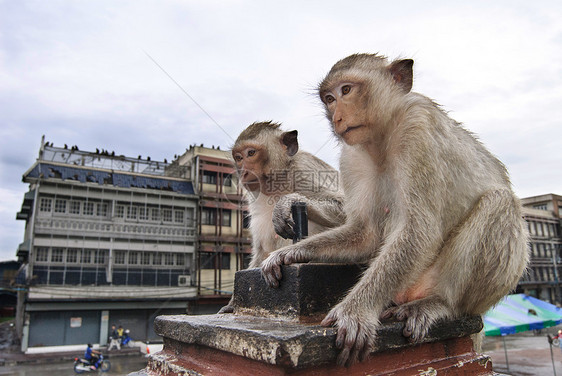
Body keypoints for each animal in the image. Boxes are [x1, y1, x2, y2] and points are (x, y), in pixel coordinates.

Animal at [217, 121, 344, 314]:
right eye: (238, 157)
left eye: (251, 153)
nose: (243, 172)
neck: (278, 181)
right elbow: (261, 249)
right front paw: (231, 305)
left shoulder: (306, 169)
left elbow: (348, 211)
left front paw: (287, 202)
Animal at [260, 54, 528, 366]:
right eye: (329, 98)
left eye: (346, 90)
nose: (337, 117)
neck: (382, 138)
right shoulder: (351, 157)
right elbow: (364, 234)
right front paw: (291, 251)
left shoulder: (418, 128)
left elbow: (420, 230)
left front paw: (355, 312)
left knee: (500, 201)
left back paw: (440, 303)